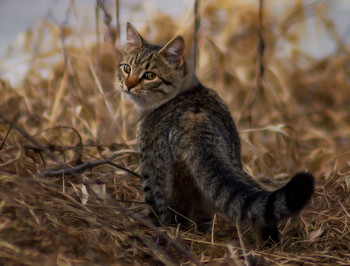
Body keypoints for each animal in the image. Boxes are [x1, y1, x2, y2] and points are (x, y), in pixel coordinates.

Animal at [115, 23, 314, 245]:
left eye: (150, 76)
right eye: (127, 68)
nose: (128, 85)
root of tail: (197, 122)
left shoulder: (148, 169)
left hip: (161, 182)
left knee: (168, 217)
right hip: (226, 175)